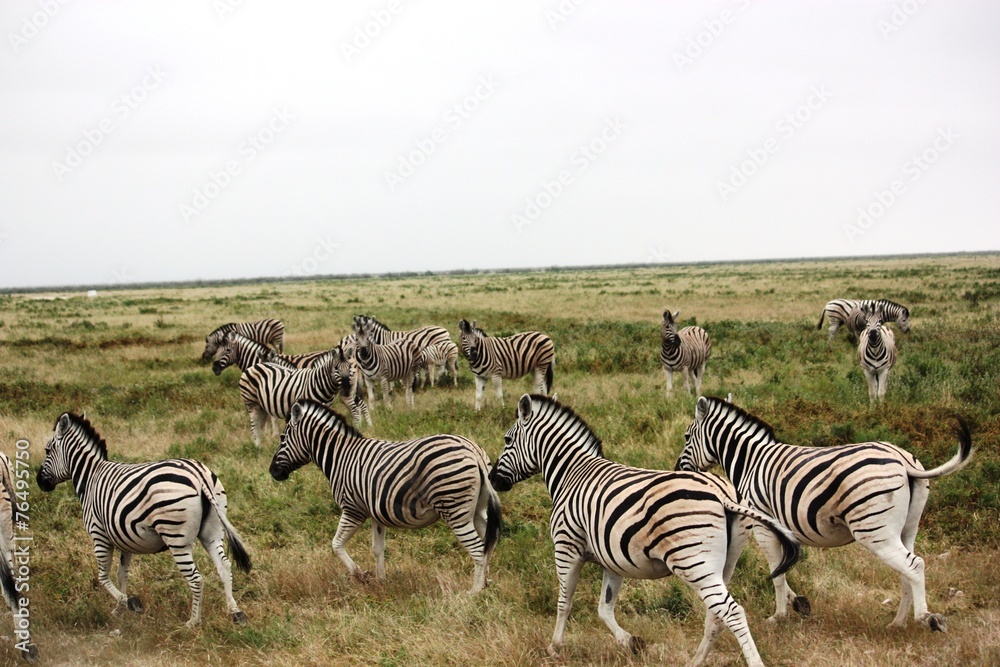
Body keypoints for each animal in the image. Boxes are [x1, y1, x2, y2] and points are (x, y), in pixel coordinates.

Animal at [36, 413, 252, 628]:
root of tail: (199, 476)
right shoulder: (124, 539)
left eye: (47, 450)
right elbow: (121, 575)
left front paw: (130, 603)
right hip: (212, 531)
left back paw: (192, 622)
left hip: (176, 537)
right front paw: (119, 610)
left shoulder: (99, 536)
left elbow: (102, 577)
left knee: (196, 578)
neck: (90, 477)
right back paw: (235, 612)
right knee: (224, 566)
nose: (39, 482)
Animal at [239, 349, 369, 448]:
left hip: (262, 406)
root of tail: (252, 367)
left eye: (349, 367)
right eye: (336, 368)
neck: (318, 383)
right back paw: (258, 447)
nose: (347, 389)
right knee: (254, 426)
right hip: (252, 403)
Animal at [269, 399, 501, 593]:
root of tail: (473, 451)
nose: (273, 472)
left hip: (455, 511)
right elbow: (377, 548)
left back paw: (474, 593)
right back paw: (486, 583)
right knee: (488, 543)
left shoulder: (353, 509)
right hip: (477, 509)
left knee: (477, 549)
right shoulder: (375, 513)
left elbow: (336, 544)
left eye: (282, 438)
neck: (341, 457)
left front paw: (360, 575)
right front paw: (381, 581)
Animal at [489, 394, 799, 666]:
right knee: (717, 614)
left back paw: (751, 662)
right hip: (724, 564)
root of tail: (721, 495)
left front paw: (554, 647)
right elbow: (604, 608)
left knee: (731, 611)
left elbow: (564, 602)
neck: (571, 474)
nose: (493, 480)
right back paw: (696, 660)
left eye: (507, 440)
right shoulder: (612, 559)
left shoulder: (566, 547)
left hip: (694, 562)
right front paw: (631, 642)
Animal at [675, 396, 972, 631]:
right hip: (907, 529)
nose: (678, 468)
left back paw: (926, 618)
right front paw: (798, 603)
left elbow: (777, 571)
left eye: (687, 437)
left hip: (875, 530)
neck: (750, 461)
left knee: (914, 565)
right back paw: (898, 622)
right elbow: (782, 567)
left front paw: (779, 615)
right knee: (906, 571)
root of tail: (903, 459)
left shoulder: (762, 525)